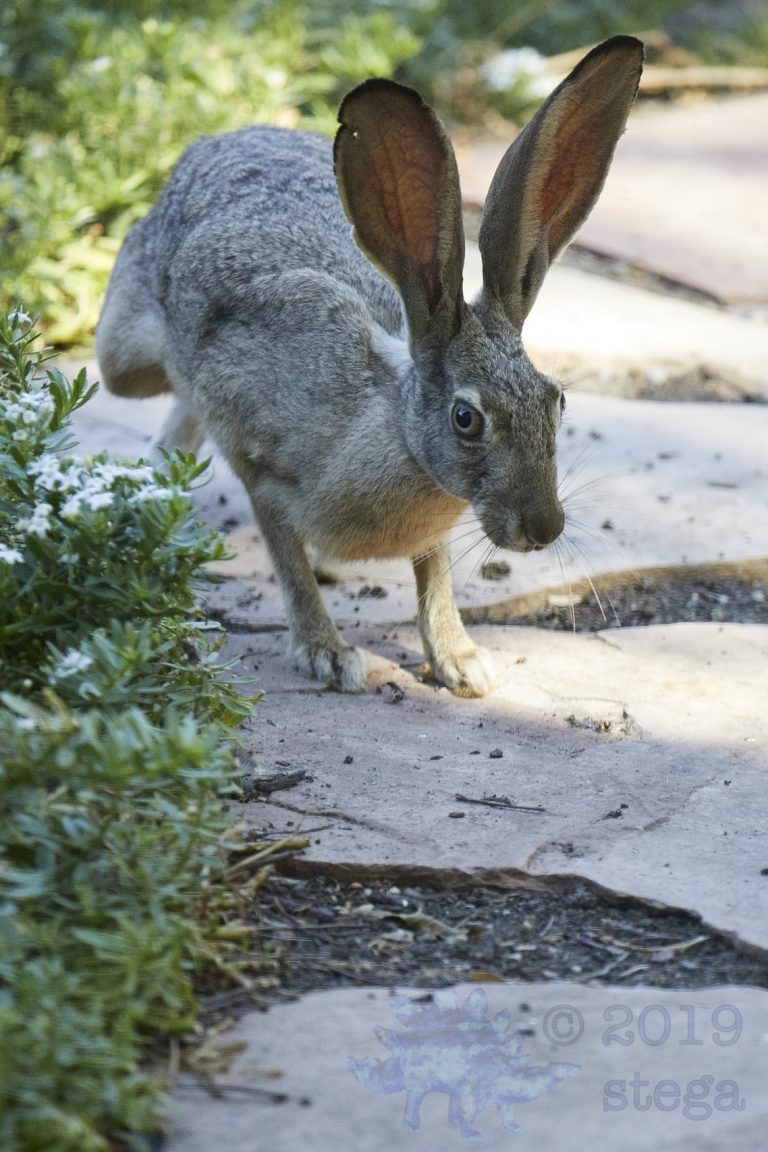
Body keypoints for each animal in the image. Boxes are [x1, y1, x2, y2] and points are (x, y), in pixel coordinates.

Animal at [96, 35, 643, 697]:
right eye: (466, 418)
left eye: (556, 400)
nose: (544, 528)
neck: (397, 426)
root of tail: (220, 140)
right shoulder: (262, 466)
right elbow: (287, 561)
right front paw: (328, 655)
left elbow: (434, 577)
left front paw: (461, 662)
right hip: (124, 356)